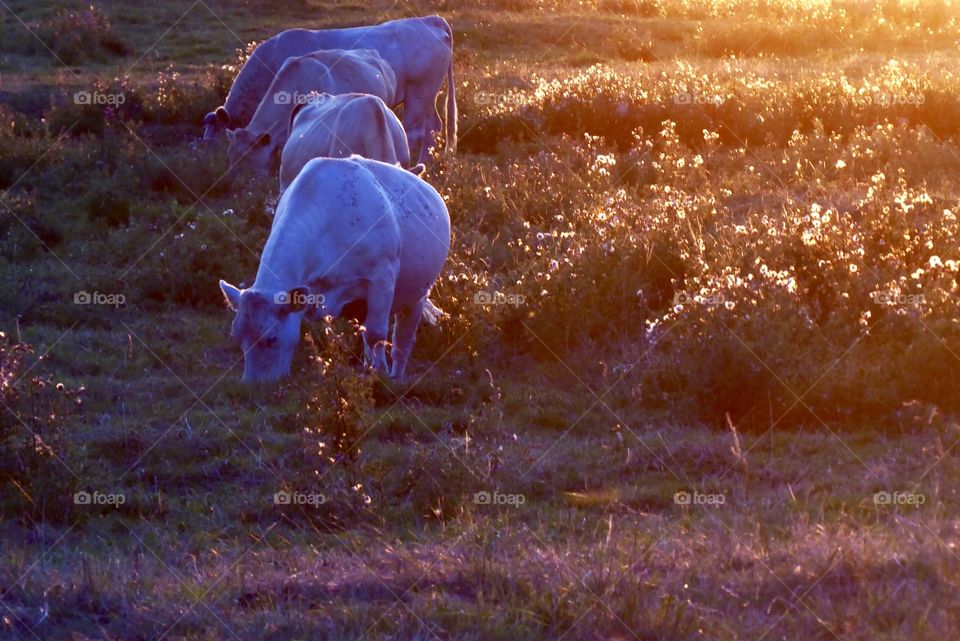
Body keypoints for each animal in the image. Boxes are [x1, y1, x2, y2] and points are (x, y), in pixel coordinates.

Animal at [219, 156, 450, 384]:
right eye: (237, 337)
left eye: (271, 339)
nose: (253, 385)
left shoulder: (382, 278)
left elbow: (376, 334)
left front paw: (381, 376)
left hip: (416, 296)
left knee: (402, 340)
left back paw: (396, 377)